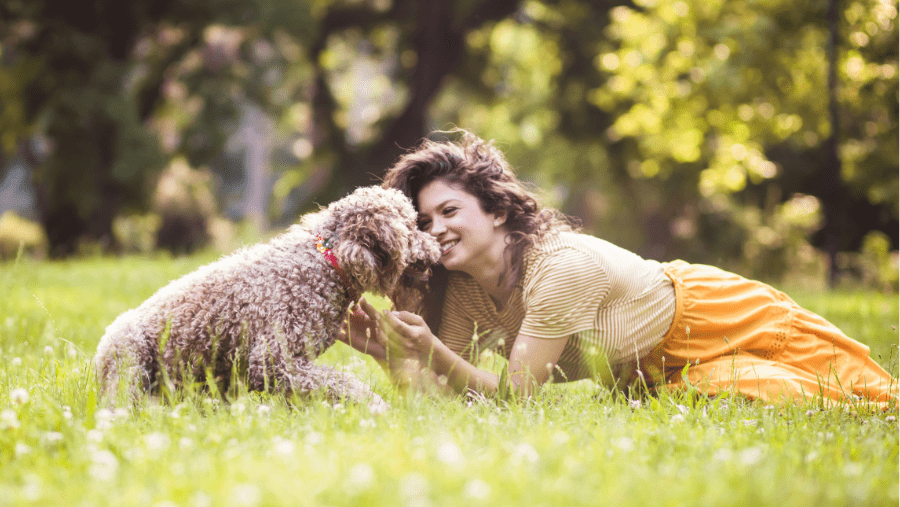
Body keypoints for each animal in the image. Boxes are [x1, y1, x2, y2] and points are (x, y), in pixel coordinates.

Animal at [94, 187, 440, 412]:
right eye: (411, 229)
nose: (437, 247)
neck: (325, 263)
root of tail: (99, 353)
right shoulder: (273, 360)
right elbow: (341, 382)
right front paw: (376, 406)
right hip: (131, 363)